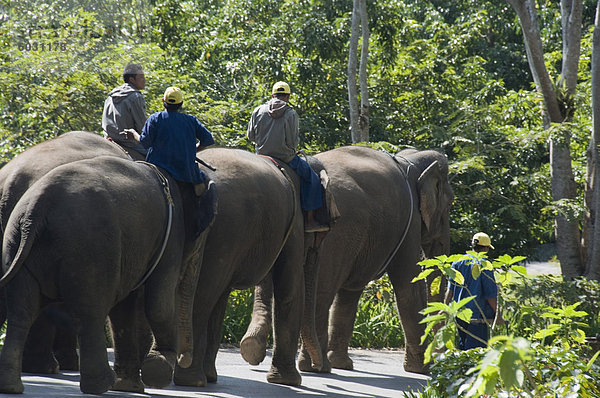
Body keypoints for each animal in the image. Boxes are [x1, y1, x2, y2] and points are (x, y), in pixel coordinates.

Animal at [0, 154, 216, 394]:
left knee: (22, 311)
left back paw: (11, 387)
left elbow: (126, 309)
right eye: (204, 229)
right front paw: (157, 370)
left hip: (15, 240)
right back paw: (101, 385)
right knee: (90, 312)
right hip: (90, 250)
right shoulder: (171, 233)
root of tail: (37, 208)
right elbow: (158, 303)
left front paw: (130, 387)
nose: (183, 361)